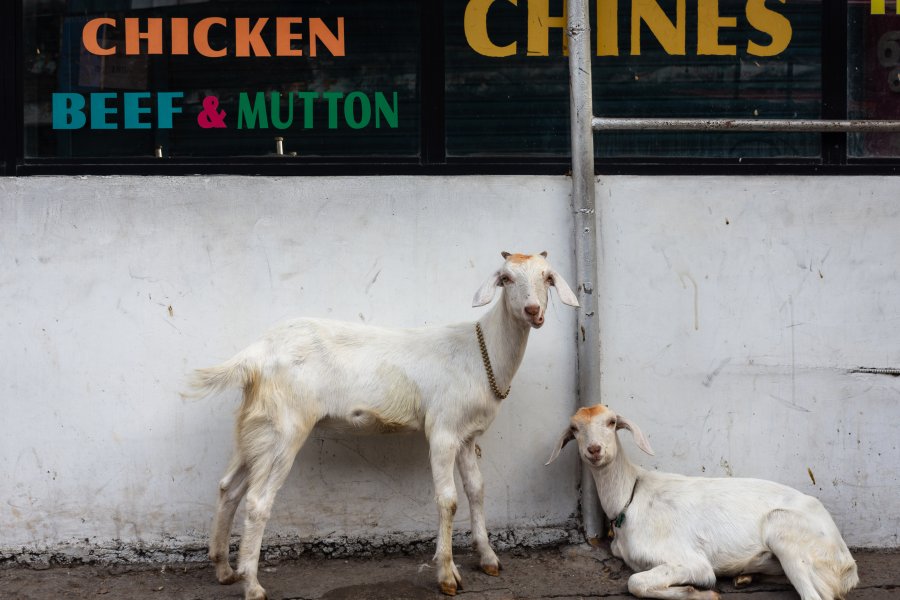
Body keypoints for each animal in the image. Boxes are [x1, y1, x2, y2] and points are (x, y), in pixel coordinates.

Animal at [192, 252, 580, 600]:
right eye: (506, 278)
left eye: (547, 277)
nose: (533, 311)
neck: (480, 353)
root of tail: (255, 354)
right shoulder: (442, 430)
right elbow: (448, 500)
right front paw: (447, 574)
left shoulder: (467, 436)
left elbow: (476, 490)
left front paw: (487, 557)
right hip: (285, 427)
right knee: (257, 501)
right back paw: (252, 585)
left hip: (256, 427)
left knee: (228, 487)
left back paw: (224, 569)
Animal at [548, 404, 856, 600]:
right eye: (574, 428)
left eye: (612, 422)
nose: (594, 450)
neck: (630, 498)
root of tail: (848, 565)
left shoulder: (689, 560)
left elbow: (636, 582)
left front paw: (701, 592)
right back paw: (745, 576)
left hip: (784, 529)